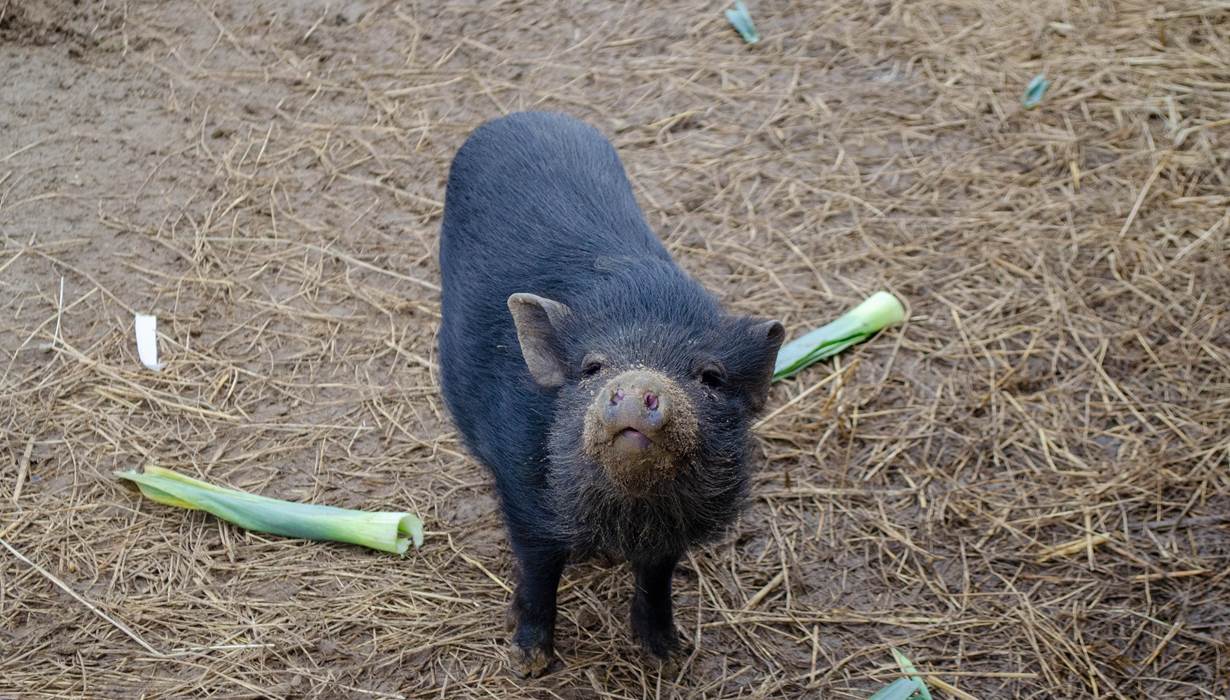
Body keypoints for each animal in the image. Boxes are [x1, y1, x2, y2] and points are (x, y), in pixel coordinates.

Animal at [438, 112, 784, 677]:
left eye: (710, 377)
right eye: (592, 367)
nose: (639, 384)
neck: (630, 509)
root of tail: (523, 114)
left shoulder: (673, 532)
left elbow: (657, 578)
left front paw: (668, 656)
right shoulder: (524, 490)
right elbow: (538, 573)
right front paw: (529, 663)